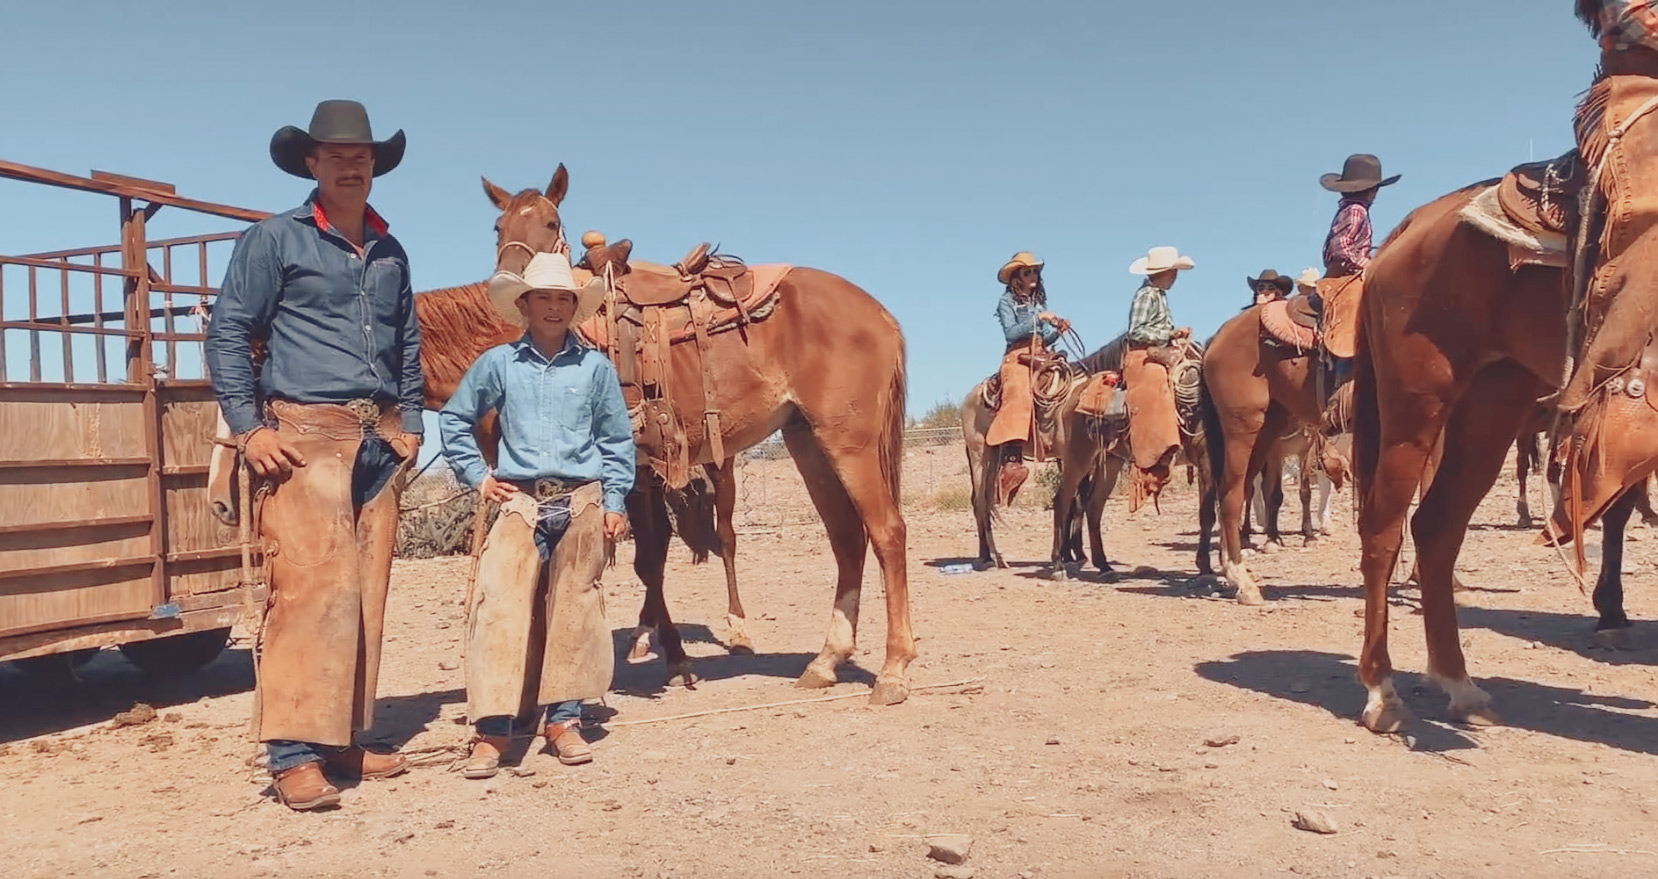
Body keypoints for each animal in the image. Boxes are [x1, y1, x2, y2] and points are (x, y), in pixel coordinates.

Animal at [454, 167, 915, 699]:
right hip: (809, 443)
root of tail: (878, 312)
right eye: (498, 226)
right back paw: (825, 662)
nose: (508, 281)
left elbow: (642, 563)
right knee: (846, 539)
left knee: (887, 532)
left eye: (550, 222)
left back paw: (893, 669)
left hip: (849, 442)